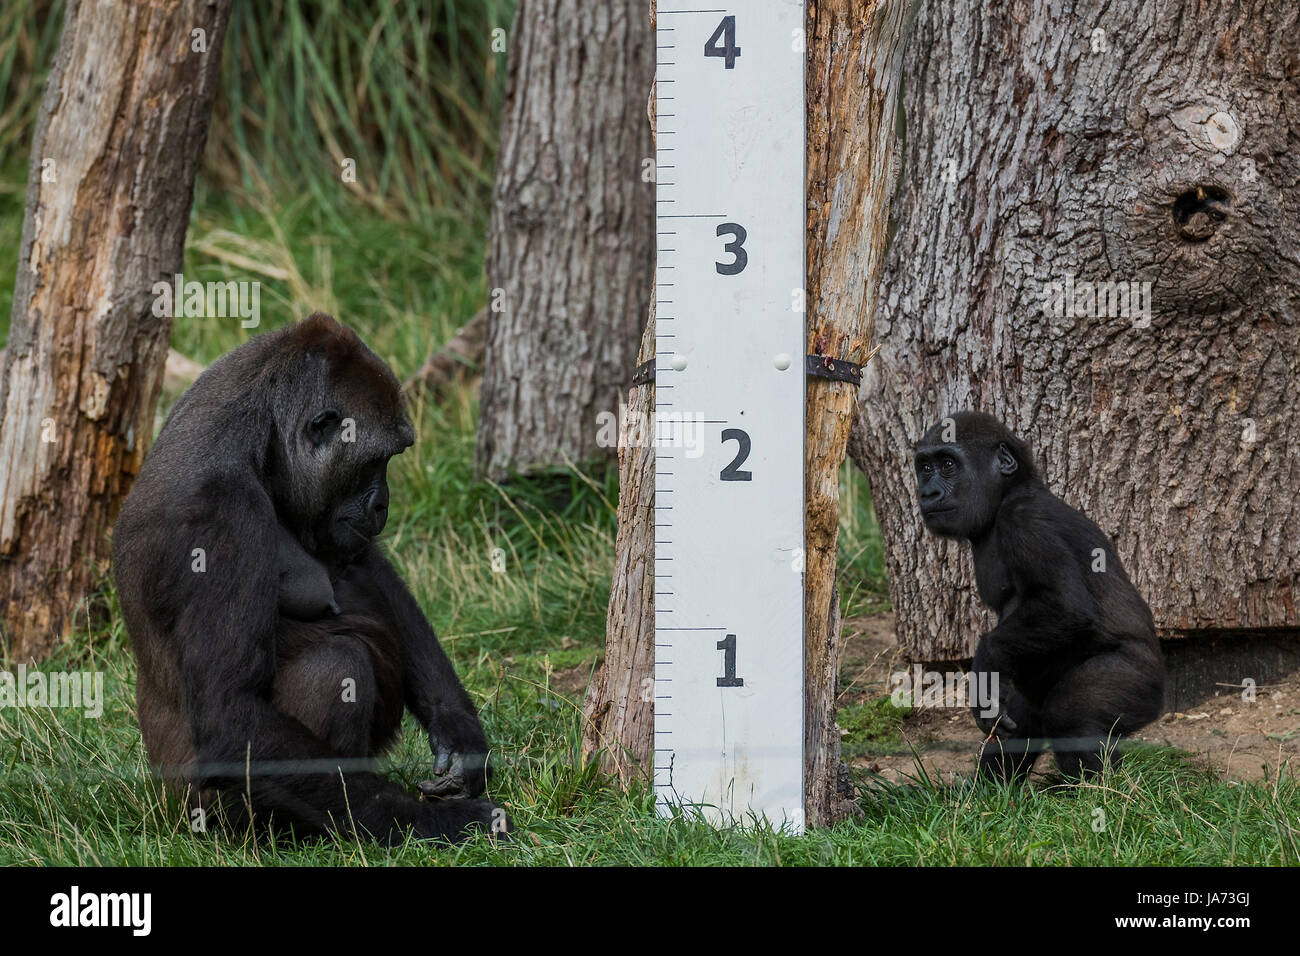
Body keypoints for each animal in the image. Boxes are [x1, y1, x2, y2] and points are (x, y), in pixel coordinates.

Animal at [114, 314, 504, 842]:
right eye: (374, 461)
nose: (382, 505)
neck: (255, 436)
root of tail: (165, 804)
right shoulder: (219, 516)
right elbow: (231, 715)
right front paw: (437, 822)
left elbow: (365, 565)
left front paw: (458, 732)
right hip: (204, 812)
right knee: (337, 666)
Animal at [915, 408, 1170, 780]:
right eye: (925, 468)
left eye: (948, 465)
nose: (928, 493)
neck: (1007, 495)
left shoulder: (1027, 521)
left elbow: (1066, 607)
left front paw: (986, 661)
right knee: (1023, 724)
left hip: (1142, 682)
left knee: (1071, 717)